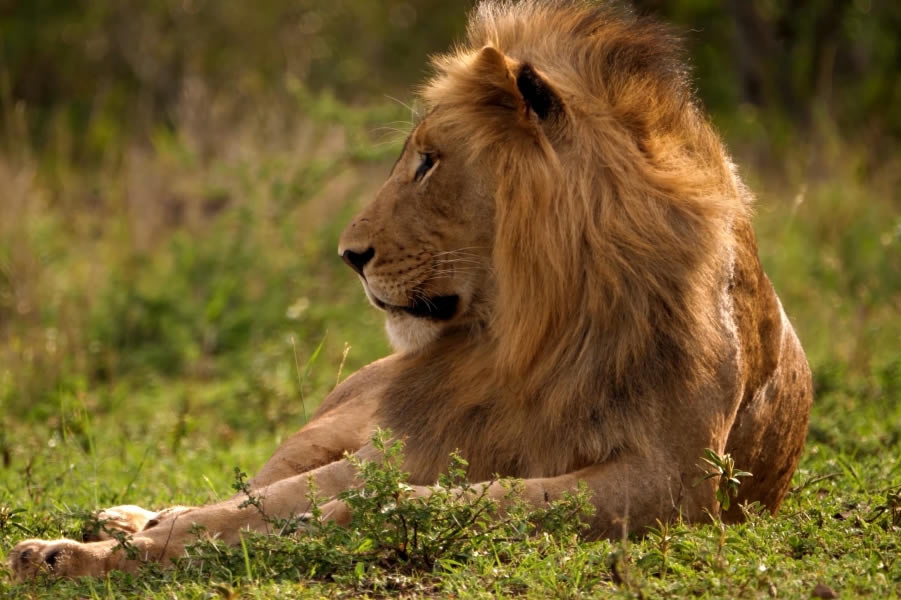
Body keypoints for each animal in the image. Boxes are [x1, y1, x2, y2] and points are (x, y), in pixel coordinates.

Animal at [9, 0, 812, 579]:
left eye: (428, 161)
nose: (348, 256)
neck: (533, 330)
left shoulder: (673, 483)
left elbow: (504, 500)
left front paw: (358, 520)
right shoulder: (416, 436)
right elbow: (246, 507)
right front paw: (75, 552)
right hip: (335, 420)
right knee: (248, 483)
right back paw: (132, 519)